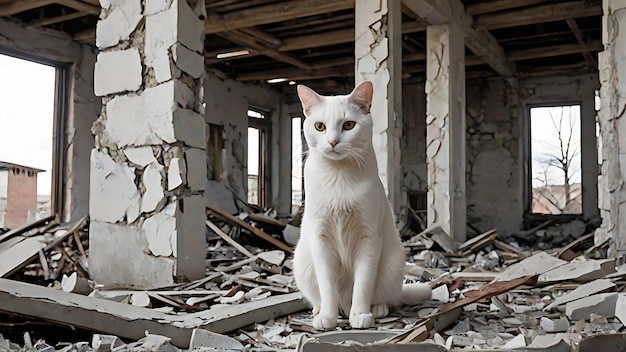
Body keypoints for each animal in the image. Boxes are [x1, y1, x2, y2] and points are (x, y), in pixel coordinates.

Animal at [292, 80, 428, 330]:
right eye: (319, 126)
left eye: (348, 125)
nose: (333, 142)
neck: (338, 177)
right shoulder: (320, 236)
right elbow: (327, 285)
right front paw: (327, 317)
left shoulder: (369, 237)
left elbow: (363, 282)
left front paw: (361, 315)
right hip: (302, 262)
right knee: (321, 295)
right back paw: (319, 309)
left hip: (393, 262)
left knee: (386, 297)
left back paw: (377, 309)